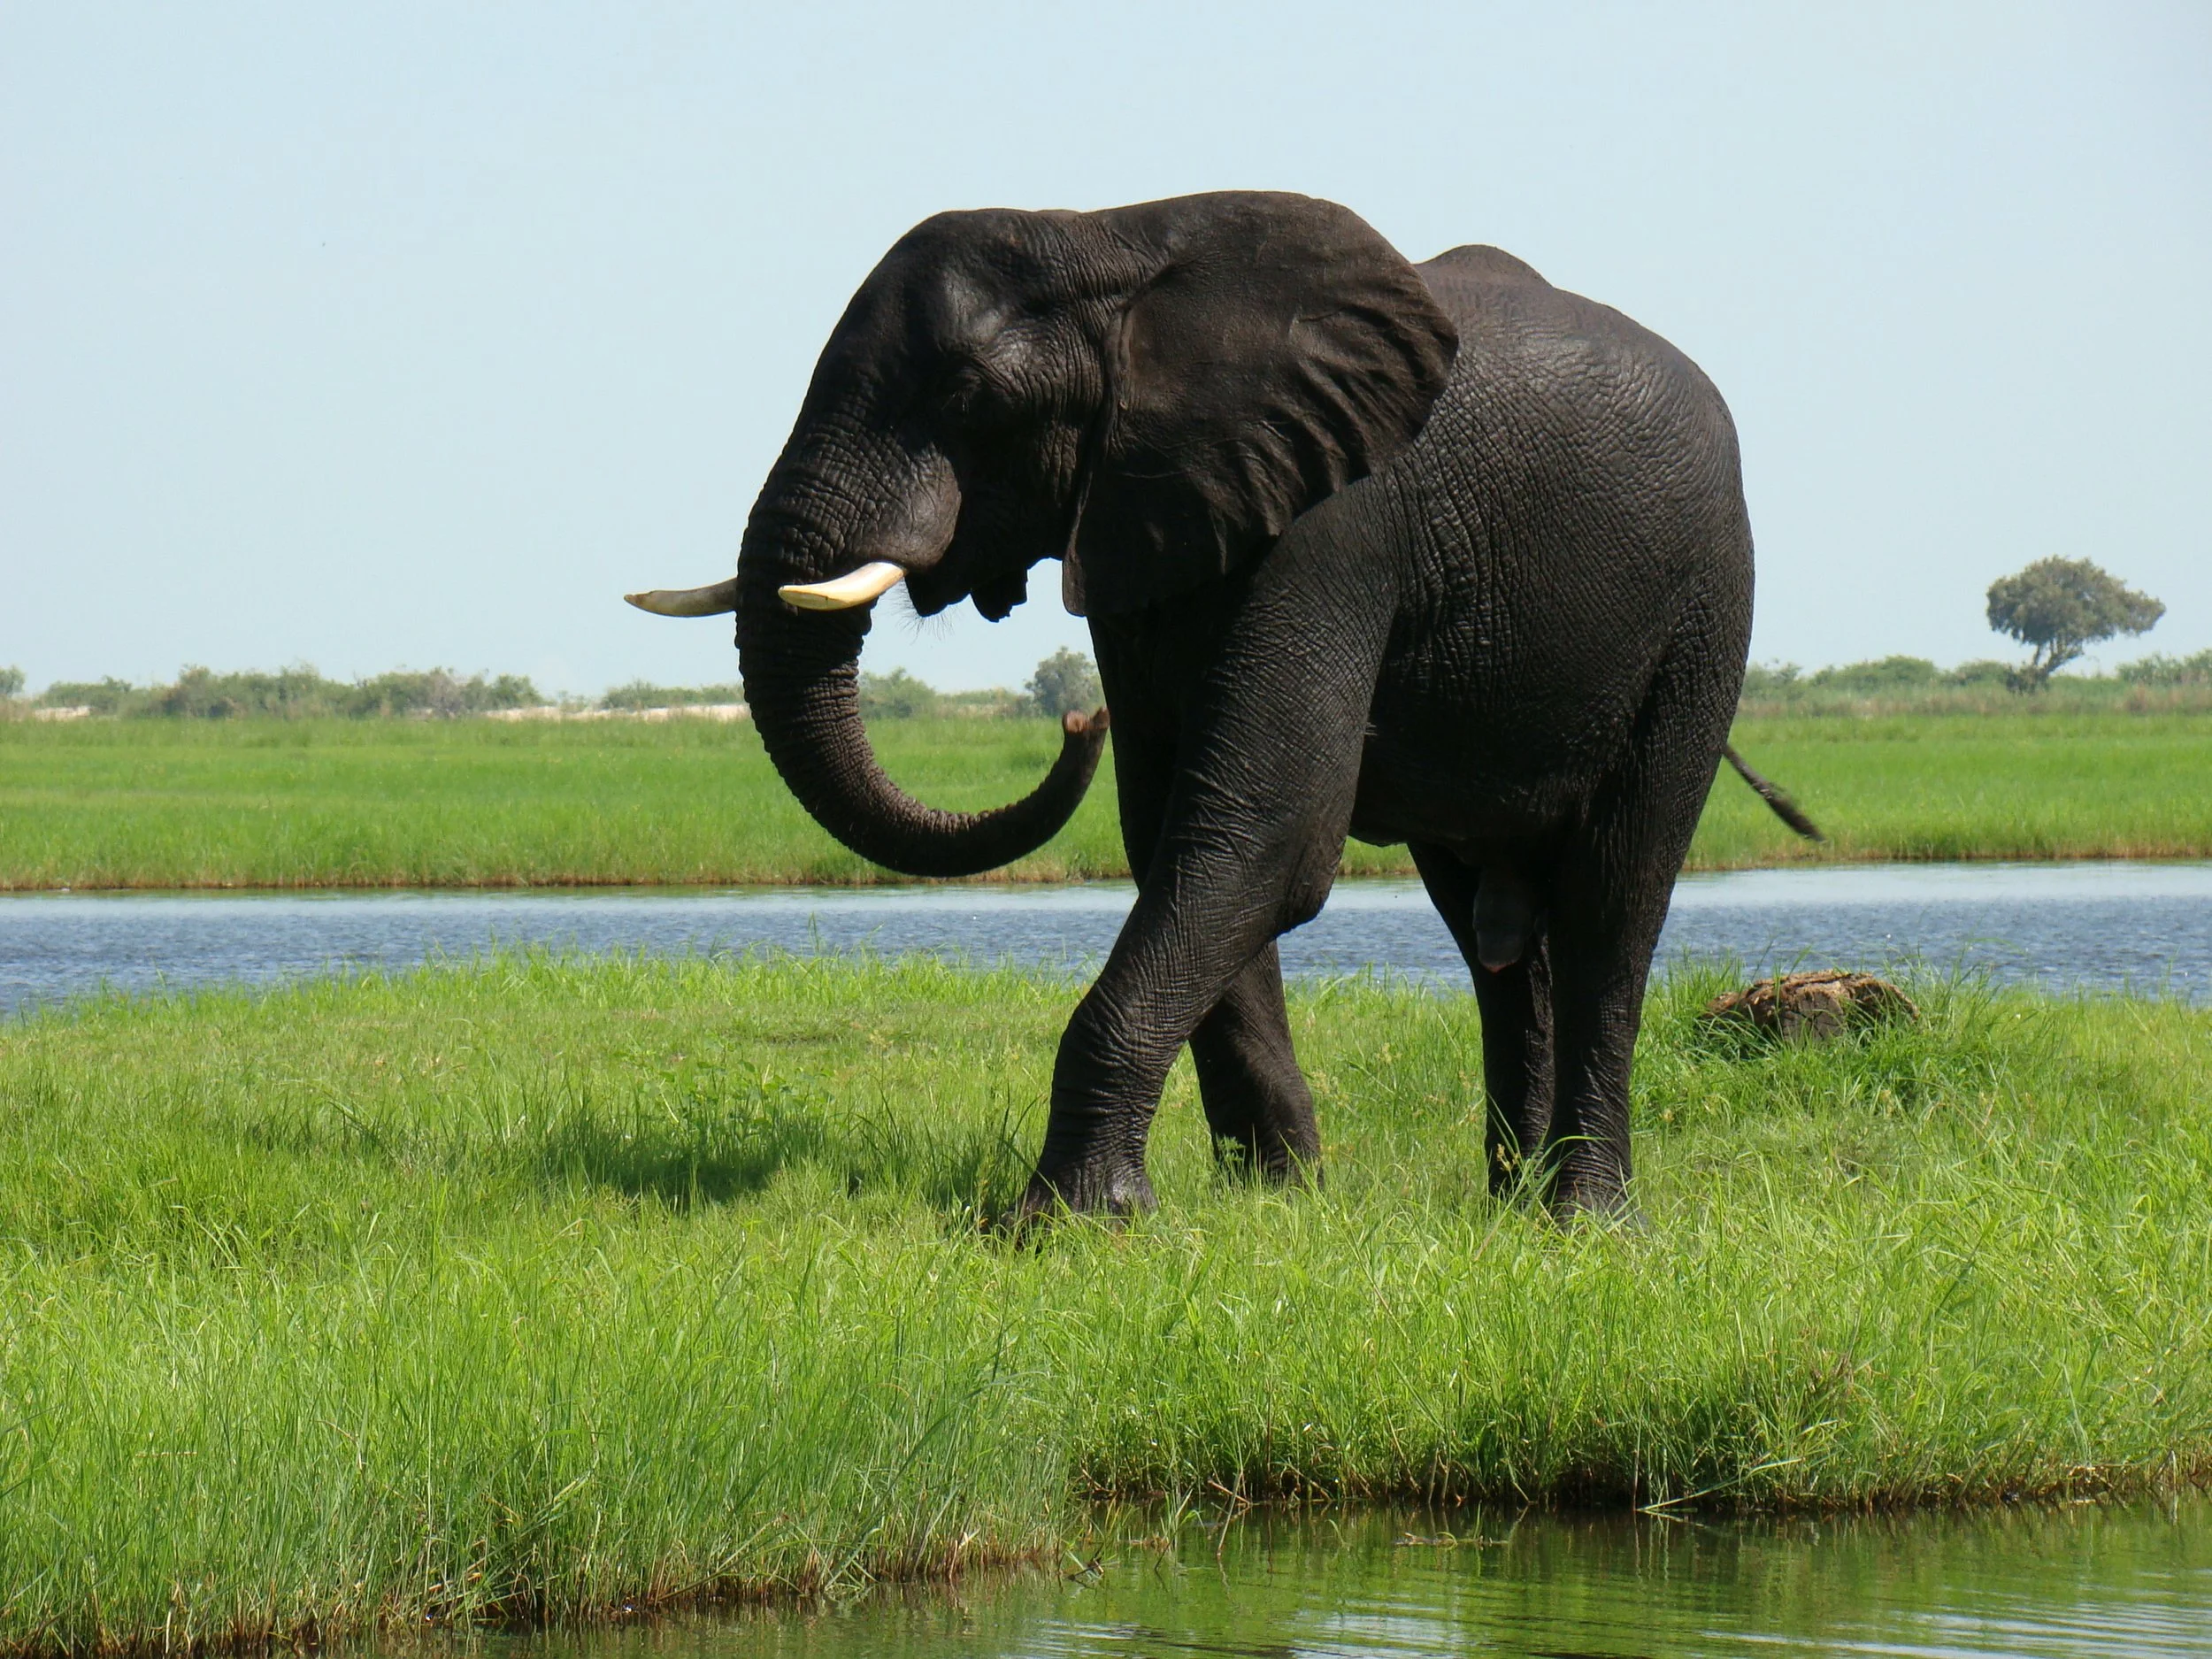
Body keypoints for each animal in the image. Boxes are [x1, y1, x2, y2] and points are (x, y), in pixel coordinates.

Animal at [628, 191, 1815, 1218]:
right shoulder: (1144, 521)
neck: (1109, 240)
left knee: (1614, 897)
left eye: (968, 400)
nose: (1075, 722)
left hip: (1706, 608)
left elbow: (1264, 830)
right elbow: (1178, 832)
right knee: (1490, 929)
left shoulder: (1332, 527)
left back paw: (1585, 1224)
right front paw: (1280, 1202)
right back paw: (1510, 1209)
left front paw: (1065, 1222)